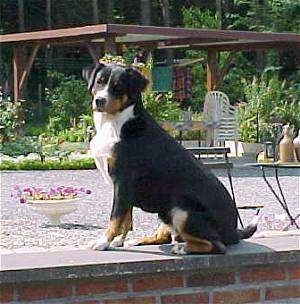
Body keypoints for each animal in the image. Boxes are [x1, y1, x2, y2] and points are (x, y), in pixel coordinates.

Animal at [82, 63, 258, 254]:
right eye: (99, 81)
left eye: (118, 87)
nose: (100, 100)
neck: (115, 124)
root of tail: (234, 231)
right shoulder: (124, 190)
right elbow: (126, 219)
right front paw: (118, 241)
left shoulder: (123, 181)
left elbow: (116, 218)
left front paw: (103, 241)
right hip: (165, 212)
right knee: (164, 237)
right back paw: (140, 241)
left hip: (181, 211)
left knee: (216, 245)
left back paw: (182, 248)